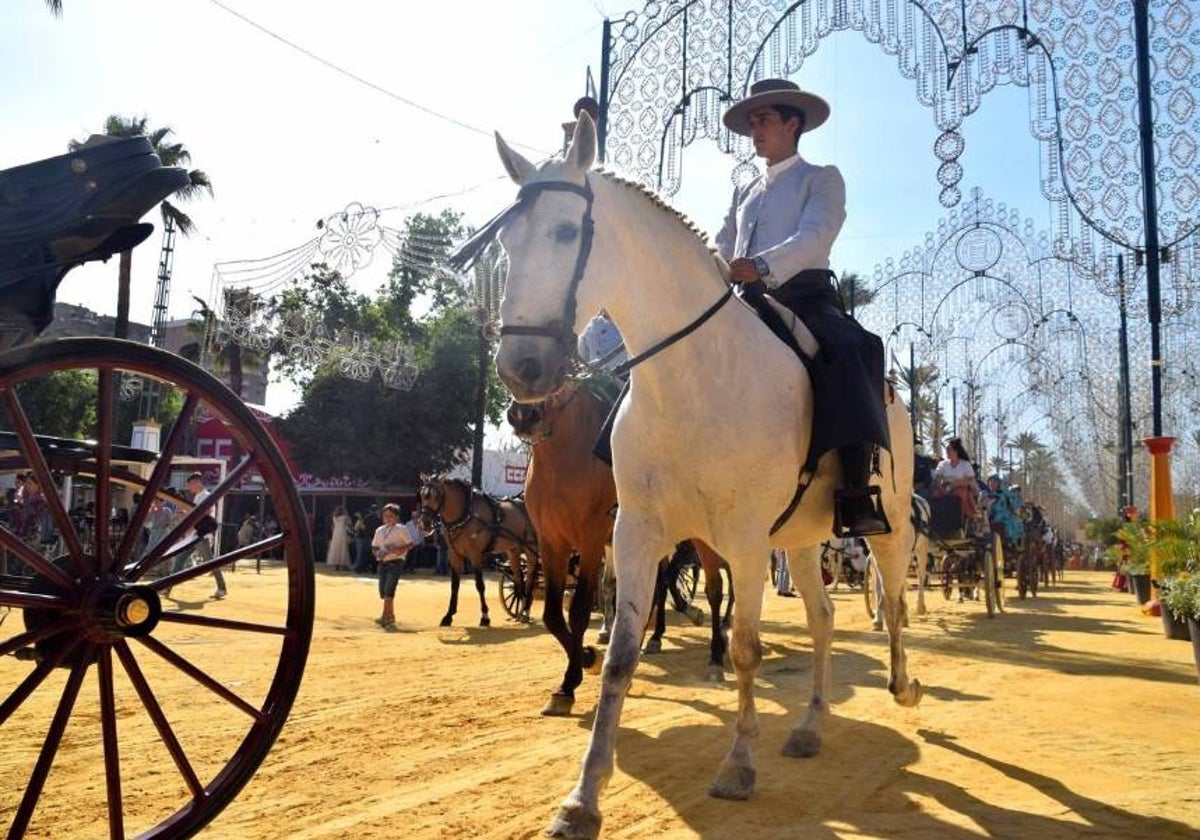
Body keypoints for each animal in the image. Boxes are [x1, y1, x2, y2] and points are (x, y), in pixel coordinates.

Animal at [417, 475, 540, 628]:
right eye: (422, 494)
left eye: (437, 495)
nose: (425, 523)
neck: (466, 514)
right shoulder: (454, 554)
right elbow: (454, 585)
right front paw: (448, 616)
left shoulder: (475, 555)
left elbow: (480, 585)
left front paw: (485, 616)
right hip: (513, 550)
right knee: (519, 579)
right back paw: (521, 611)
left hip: (531, 549)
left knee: (530, 577)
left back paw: (526, 611)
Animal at [508, 376, 729, 715]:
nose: (523, 413)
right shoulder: (552, 543)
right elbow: (553, 615)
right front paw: (587, 660)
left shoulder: (590, 541)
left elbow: (579, 610)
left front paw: (573, 679)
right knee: (655, 590)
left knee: (715, 589)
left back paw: (715, 655)